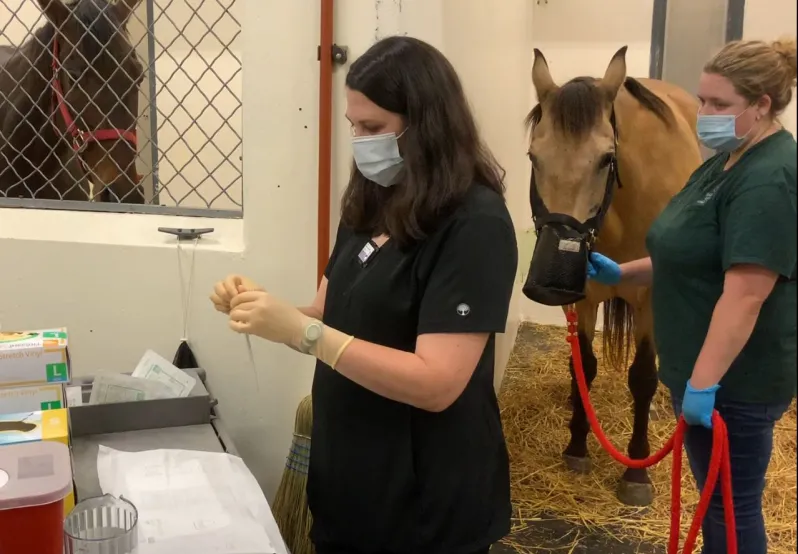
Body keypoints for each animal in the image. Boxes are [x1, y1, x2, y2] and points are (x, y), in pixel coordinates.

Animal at [524, 46, 708, 504]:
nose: (550, 281)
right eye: (534, 156)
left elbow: (642, 377)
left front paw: (636, 470)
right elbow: (584, 367)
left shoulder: (651, 299)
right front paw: (577, 445)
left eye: (607, 158)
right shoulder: (583, 297)